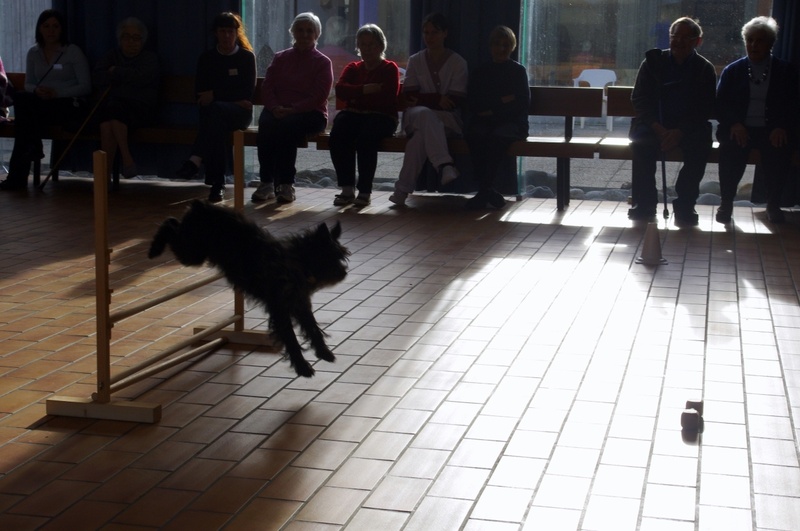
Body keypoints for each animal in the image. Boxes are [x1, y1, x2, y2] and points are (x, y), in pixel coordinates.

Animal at [148, 200, 348, 378]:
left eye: (342, 256)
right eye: (330, 256)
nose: (343, 272)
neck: (294, 262)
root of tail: (201, 206)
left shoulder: (300, 304)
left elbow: (313, 328)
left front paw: (324, 352)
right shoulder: (280, 309)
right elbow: (290, 338)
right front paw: (302, 366)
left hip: (193, 251)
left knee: (174, 222)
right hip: (191, 252)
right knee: (170, 223)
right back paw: (154, 249)